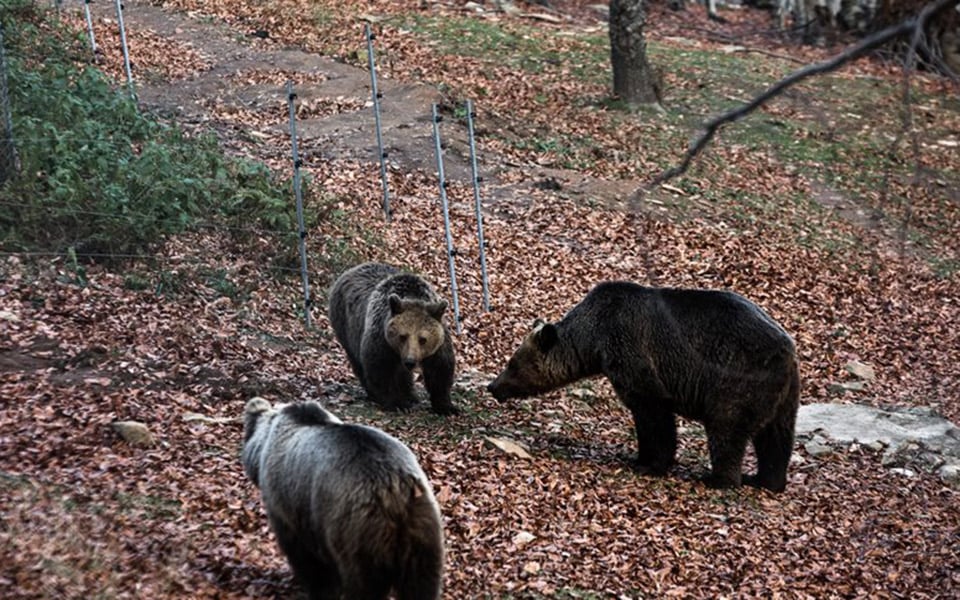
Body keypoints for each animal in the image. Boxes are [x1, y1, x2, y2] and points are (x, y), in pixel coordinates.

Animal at [241, 397, 445, 600]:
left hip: (358, 531)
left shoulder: (290, 503)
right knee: (422, 584)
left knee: (363, 583)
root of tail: (393, 490)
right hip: (422, 529)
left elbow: (306, 558)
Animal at [328, 262, 458, 415]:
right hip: (346, 325)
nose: (410, 361)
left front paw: (447, 407)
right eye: (402, 336)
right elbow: (381, 367)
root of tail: (350, 270)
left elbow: (440, 369)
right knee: (357, 361)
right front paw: (397, 403)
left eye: (423, 339)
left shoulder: (439, 342)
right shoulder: (381, 337)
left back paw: (411, 395)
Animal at [487, 282, 800, 493]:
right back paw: (765, 479)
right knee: (776, 436)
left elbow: (653, 413)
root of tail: (787, 349)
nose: (493, 386)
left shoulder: (632, 350)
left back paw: (718, 479)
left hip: (738, 378)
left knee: (727, 428)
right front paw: (639, 456)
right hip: (784, 392)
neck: (593, 339)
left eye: (512, 364)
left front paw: (649, 463)